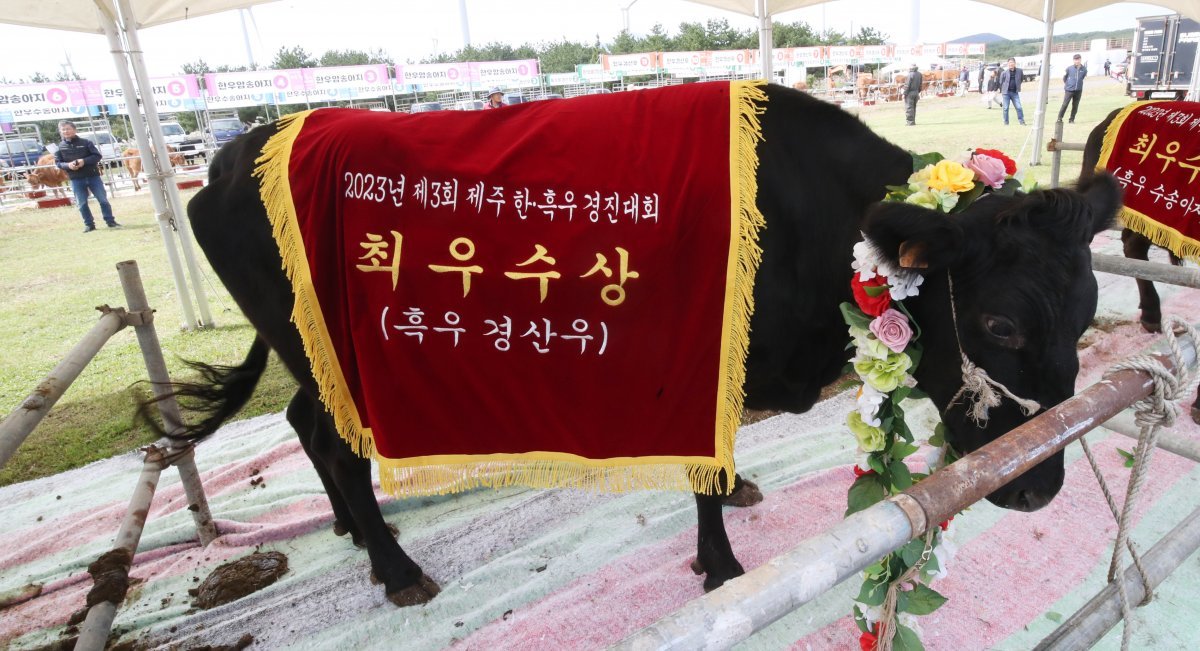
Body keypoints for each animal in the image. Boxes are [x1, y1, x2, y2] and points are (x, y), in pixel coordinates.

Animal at [152, 85, 1123, 607]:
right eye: (999, 325)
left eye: (1085, 317)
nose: (1037, 488)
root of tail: (233, 153)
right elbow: (702, 473)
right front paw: (720, 564)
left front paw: (739, 499)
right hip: (327, 347)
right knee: (329, 435)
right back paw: (396, 567)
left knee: (307, 426)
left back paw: (357, 534)